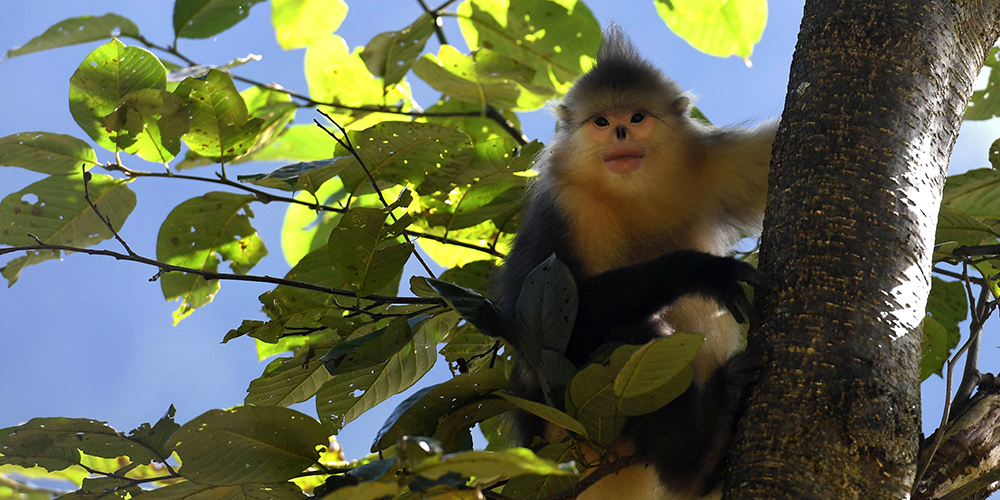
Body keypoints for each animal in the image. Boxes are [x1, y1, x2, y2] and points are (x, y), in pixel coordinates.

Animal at [496, 25, 776, 498]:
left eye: (638, 117)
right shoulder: (561, 205)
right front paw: (706, 272)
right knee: (635, 331)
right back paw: (695, 457)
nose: (622, 134)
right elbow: (530, 328)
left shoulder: (717, 162)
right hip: (563, 425)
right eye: (602, 122)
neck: (632, 191)